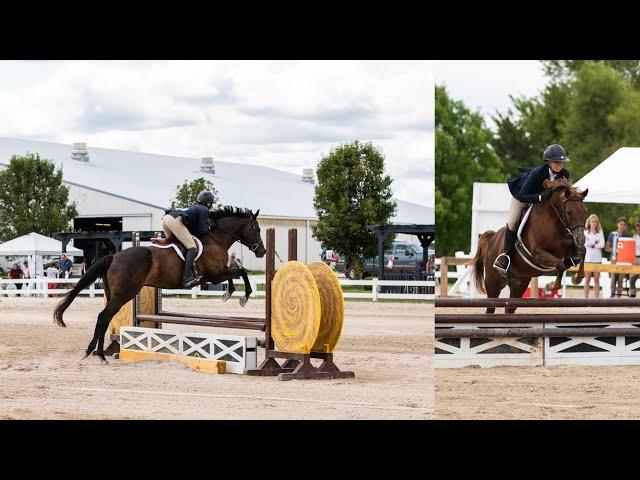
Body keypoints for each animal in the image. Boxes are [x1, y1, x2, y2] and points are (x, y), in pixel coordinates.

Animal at [53, 205, 266, 360]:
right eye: (257, 229)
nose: (262, 252)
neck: (216, 238)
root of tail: (113, 256)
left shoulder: (216, 274)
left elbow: (236, 272)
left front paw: (229, 293)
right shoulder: (214, 274)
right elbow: (241, 271)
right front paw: (242, 296)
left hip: (114, 293)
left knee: (105, 318)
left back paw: (98, 352)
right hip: (124, 294)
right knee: (104, 317)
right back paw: (96, 353)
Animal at [470, 178, 592, 314]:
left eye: (584, 211)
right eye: (569, 212)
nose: (580, 239)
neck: (555, 223)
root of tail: (493, 237)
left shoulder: (566, 250)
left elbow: (582, 252)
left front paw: (577, 278)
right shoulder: (538, 254)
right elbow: (560, 265)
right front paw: (551, 286)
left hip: (519, 285)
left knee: (509, 308)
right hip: (493, 283)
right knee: (490, 308)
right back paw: (502, 263)